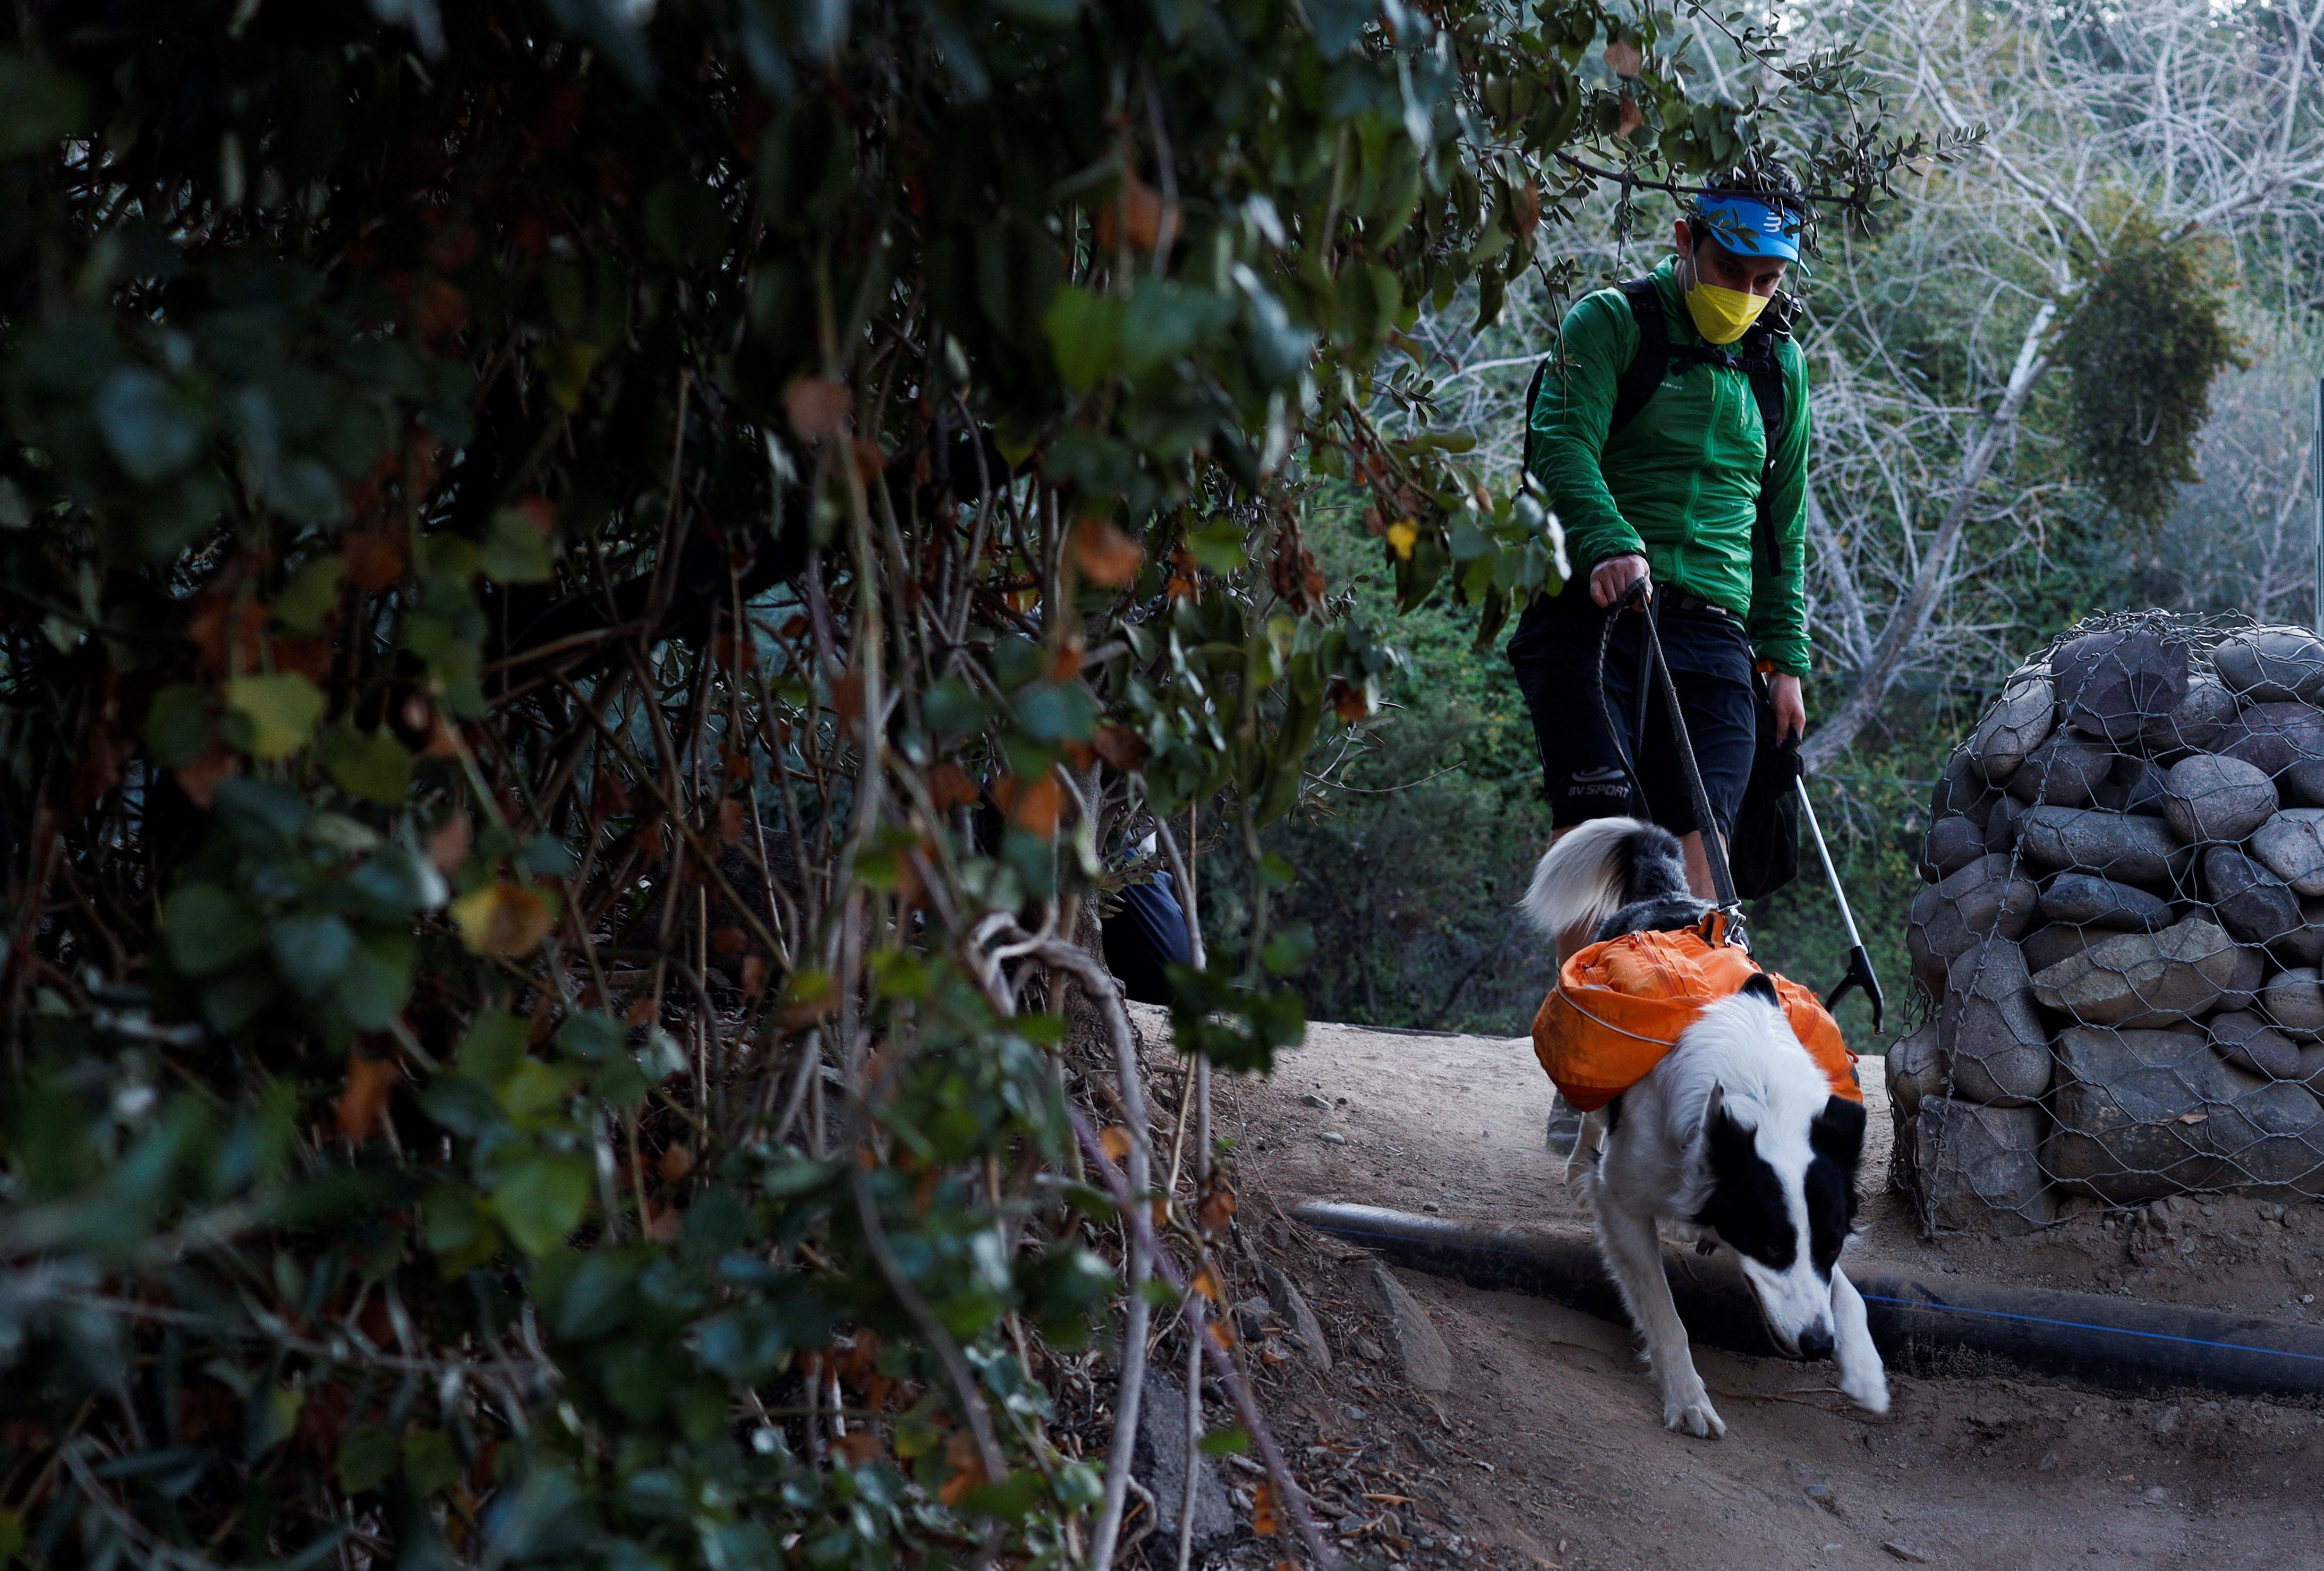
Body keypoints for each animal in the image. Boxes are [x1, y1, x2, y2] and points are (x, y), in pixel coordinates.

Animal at [1525, 818, 1887, 1440]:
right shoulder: (1623, 1202)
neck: (1755, 1094)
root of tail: (1669, 897)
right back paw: (1577, 1166)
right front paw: (1687, 1399)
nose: (1820, 1345)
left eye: (1833, 1243)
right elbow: (1665, 1314)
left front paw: (1865, 1370)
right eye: (1770, 1245)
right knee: (1592, 1114)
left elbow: (1847, 1291)